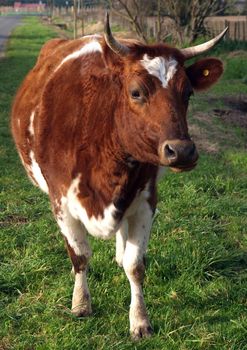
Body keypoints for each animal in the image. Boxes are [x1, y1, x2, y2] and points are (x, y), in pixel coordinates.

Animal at [11, 14, 227, 340]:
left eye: (188, 93)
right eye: (136, 92)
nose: (182, 151)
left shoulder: (146, 200)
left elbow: (135, 265)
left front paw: (139, 321)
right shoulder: (61, 202)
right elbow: (80, 256)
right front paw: (81, 304)